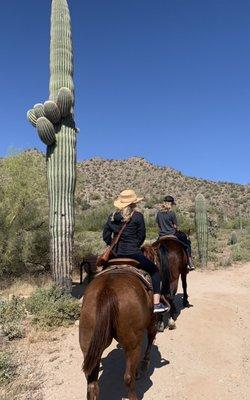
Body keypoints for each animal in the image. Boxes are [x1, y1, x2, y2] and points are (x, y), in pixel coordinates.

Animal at [79, 268, 156, 400]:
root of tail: (107, 289)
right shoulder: (152, 319)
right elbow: (151, 336)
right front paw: (144, 364)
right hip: (132, 345)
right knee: (128, 378)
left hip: (89, 345)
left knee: (92, 385)